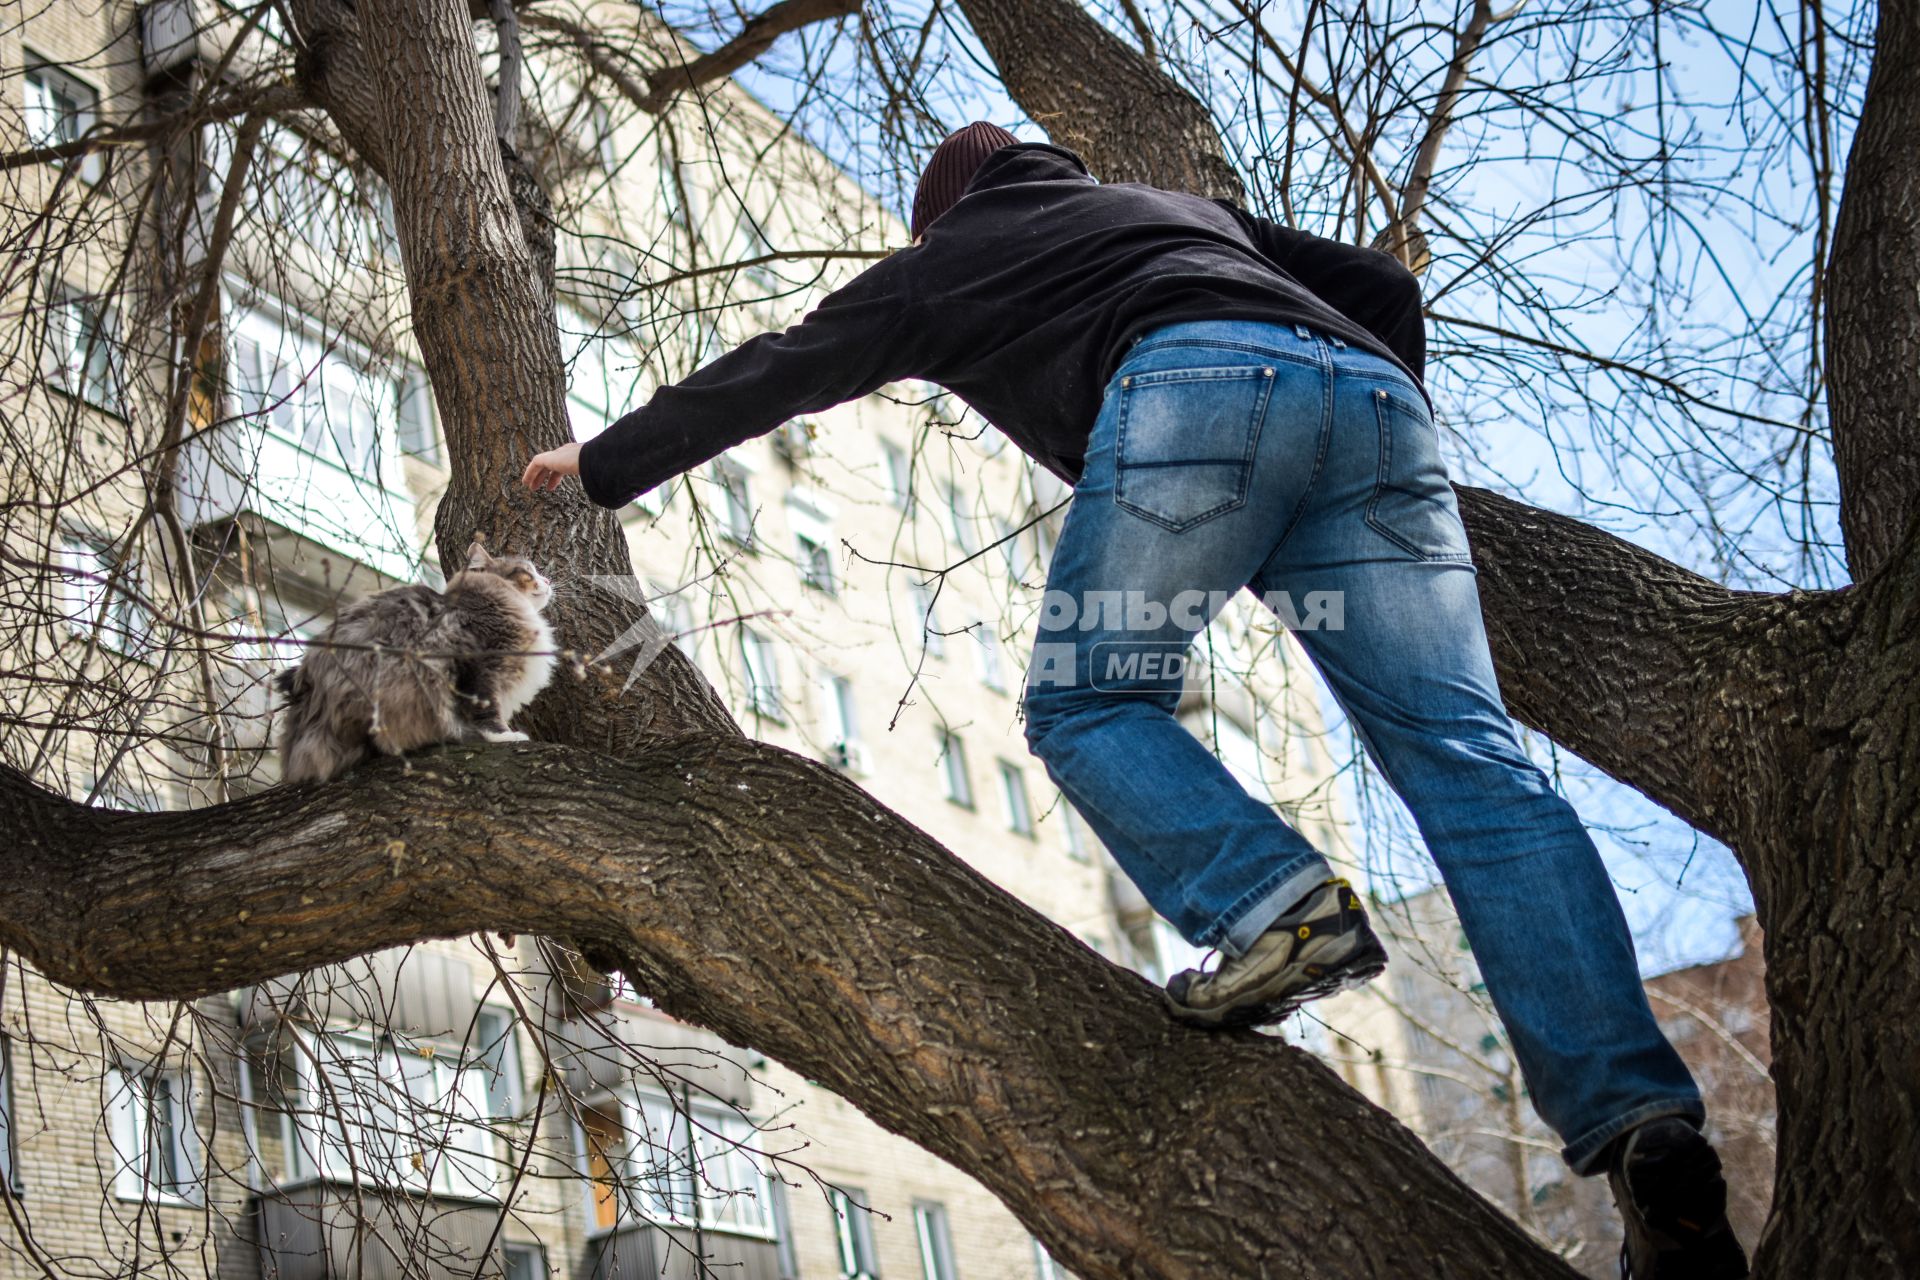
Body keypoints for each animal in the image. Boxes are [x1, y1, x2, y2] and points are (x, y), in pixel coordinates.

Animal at [274, 537, 556, 786]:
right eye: (525, 572)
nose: (548, 580)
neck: (494, 600)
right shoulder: (480, 668)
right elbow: (486, 712)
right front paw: (505, 736)